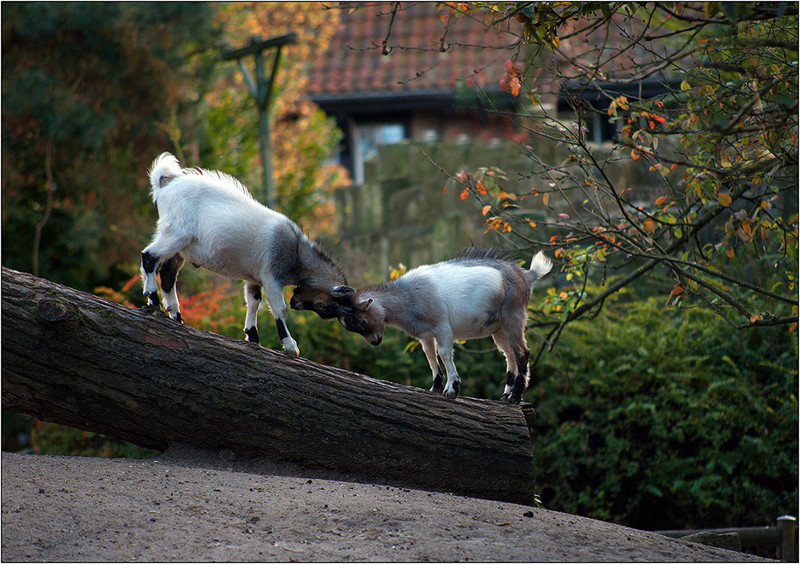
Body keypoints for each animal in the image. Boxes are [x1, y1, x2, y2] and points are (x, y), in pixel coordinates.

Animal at [141, 152, 356, 354]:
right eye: (320, 304)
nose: (295, 303)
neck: (297, 252)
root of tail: (165, 186)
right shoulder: (271, 276)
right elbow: (279, 308)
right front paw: (290, 345)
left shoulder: (255, 278)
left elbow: (253, 302)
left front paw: (252, 337)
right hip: (176, 233)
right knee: (149, 257)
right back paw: (153, 301)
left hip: (179, 247)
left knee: (167, 275)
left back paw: (177, 317)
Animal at [336, 249, 552, 404]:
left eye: (362, 322)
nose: (375, 341)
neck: (408, 296)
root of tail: (526, 276)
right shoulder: (424, 334)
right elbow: (430, 356)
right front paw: (436, 387)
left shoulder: (442, 327)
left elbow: (444, 353)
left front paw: (452, 388)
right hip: (498, 328)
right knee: (508, 353)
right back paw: (506, 394)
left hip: (513, 317)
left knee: (522, 352)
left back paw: (515, 397)